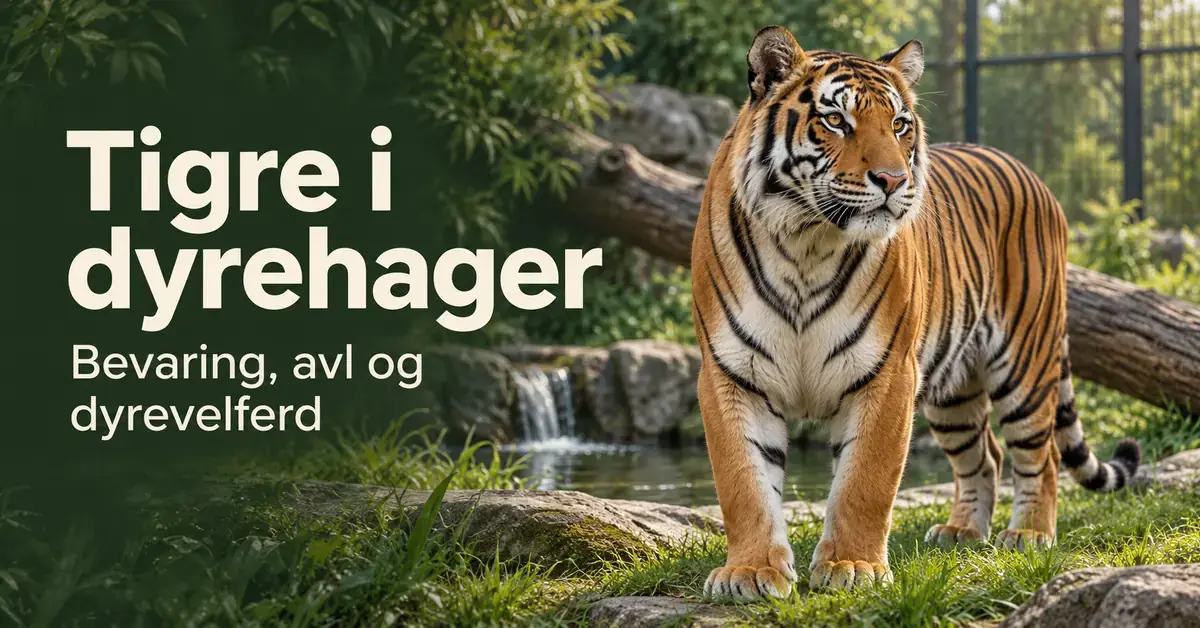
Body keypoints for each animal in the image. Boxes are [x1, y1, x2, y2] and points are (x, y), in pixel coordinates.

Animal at [690, 25, 1142, 599]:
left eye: (900, 124)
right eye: (835, 120)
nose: (893, 180)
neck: (806, 244)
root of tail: (1031, 174)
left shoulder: (887, 373)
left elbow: (865, 481)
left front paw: (853, 566)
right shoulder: (730, 373)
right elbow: (743, 482)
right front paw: (750, 572)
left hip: (1025, 363)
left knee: (1042, 456)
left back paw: (1030, 535)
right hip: (954, 391)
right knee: (986, 456)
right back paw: (962, 532)